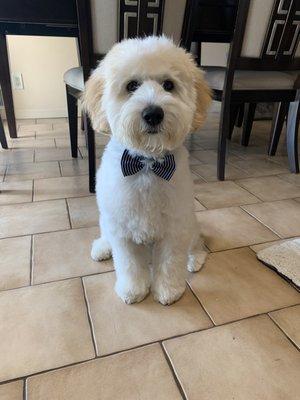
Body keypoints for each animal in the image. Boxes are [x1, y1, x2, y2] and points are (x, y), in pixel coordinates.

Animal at [83, 36, 212, 304]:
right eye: (131, 85)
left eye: (168, 85)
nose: (153, 113)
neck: (147, 165)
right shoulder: (121, 228)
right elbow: (129, 264)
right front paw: (133, 290)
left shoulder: (175, 226)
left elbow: (171, 262)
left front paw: (169, 291)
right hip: (107, 218)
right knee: (106, 234)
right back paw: (102, 247)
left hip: (190, 222)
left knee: (197, 242)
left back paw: (195, 259)